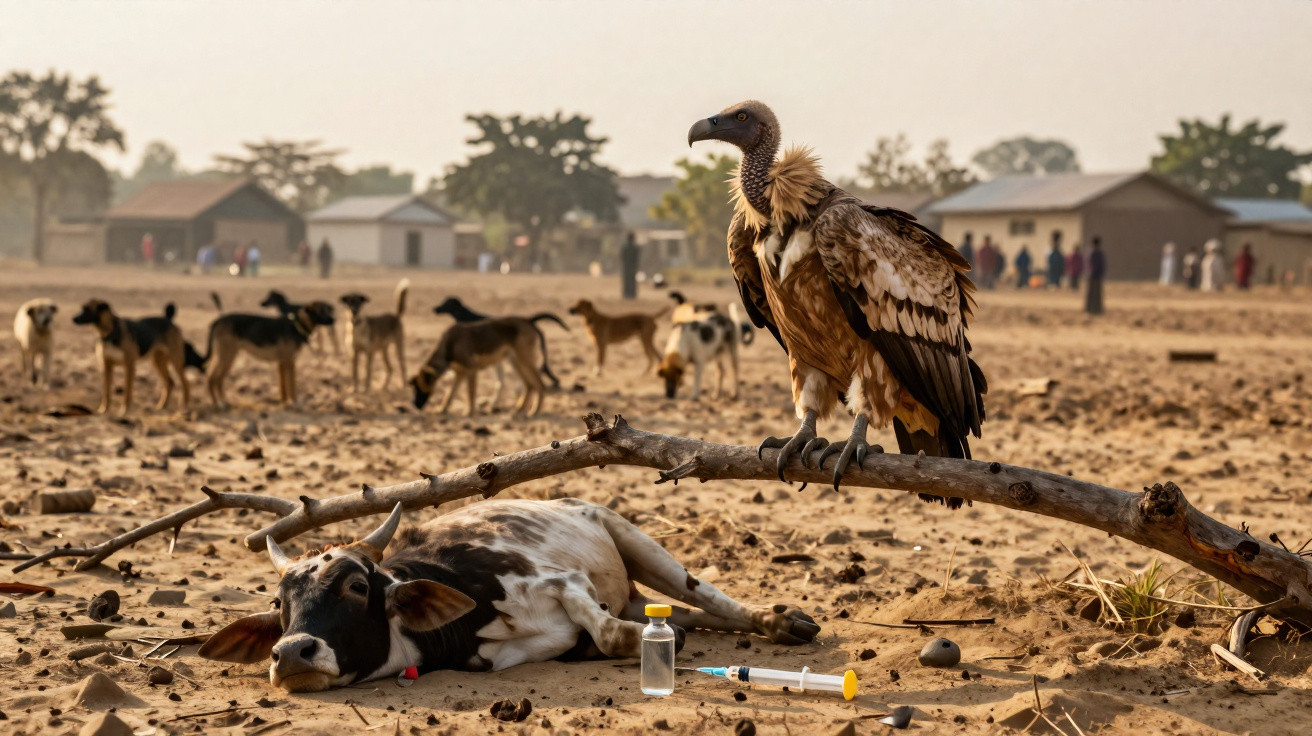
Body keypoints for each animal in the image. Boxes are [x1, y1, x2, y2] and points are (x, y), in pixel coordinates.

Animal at [199, 498, 820, 692]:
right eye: (279, 605)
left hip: (632, 537)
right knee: (682, 611)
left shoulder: (562, 582)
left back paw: (781, 622)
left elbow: (607, 632)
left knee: (708, 599)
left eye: (356, 585)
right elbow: (603, 636)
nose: (291, 653)